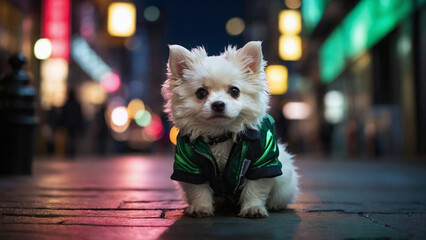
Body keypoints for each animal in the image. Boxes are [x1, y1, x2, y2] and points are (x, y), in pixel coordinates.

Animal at [161, 41, 298, 218]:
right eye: (201, 93)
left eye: (234, 91)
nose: (218, 104)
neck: (220, 135)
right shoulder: (189, 164)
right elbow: (199, 190)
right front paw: (201, 208)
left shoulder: (262, 161)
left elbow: (254, 189)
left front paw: (253, 208)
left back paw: (275, 205)